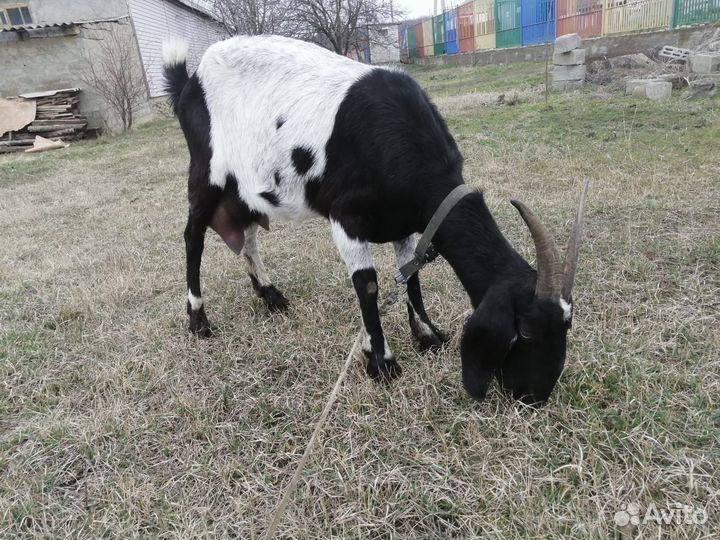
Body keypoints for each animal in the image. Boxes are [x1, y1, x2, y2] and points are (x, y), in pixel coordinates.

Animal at [162, 35, 587, 405]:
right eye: (525, 331)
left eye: (566, 327)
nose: (534, 396)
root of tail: (188, 81)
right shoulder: (345, 219)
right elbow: (367, 285)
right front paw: (381, 362)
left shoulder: (404, 223)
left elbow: (411, 274)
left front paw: (426, 335)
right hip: (206, 172)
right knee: (193, 237)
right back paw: (198, 318)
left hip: (245, 189)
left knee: (248, 238)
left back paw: (270, 295)